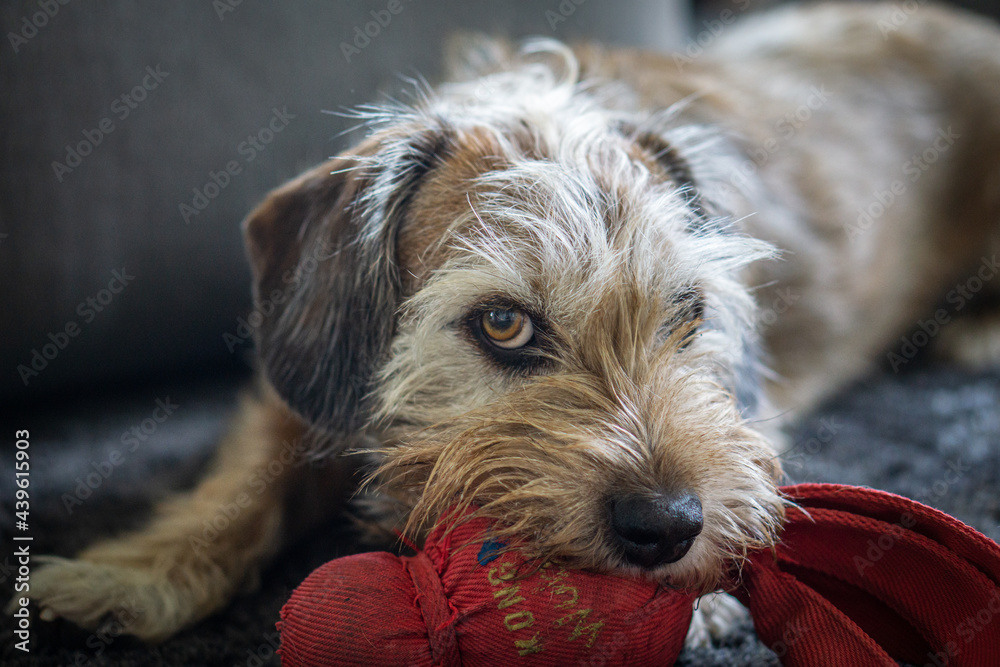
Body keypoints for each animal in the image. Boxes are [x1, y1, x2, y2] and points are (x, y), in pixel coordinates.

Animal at [21, 0, 1000, 648]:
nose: (668, 527)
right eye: (502, 323)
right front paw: (131, 571)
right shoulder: (297, 385)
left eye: (688, 315)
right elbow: (244, 486)